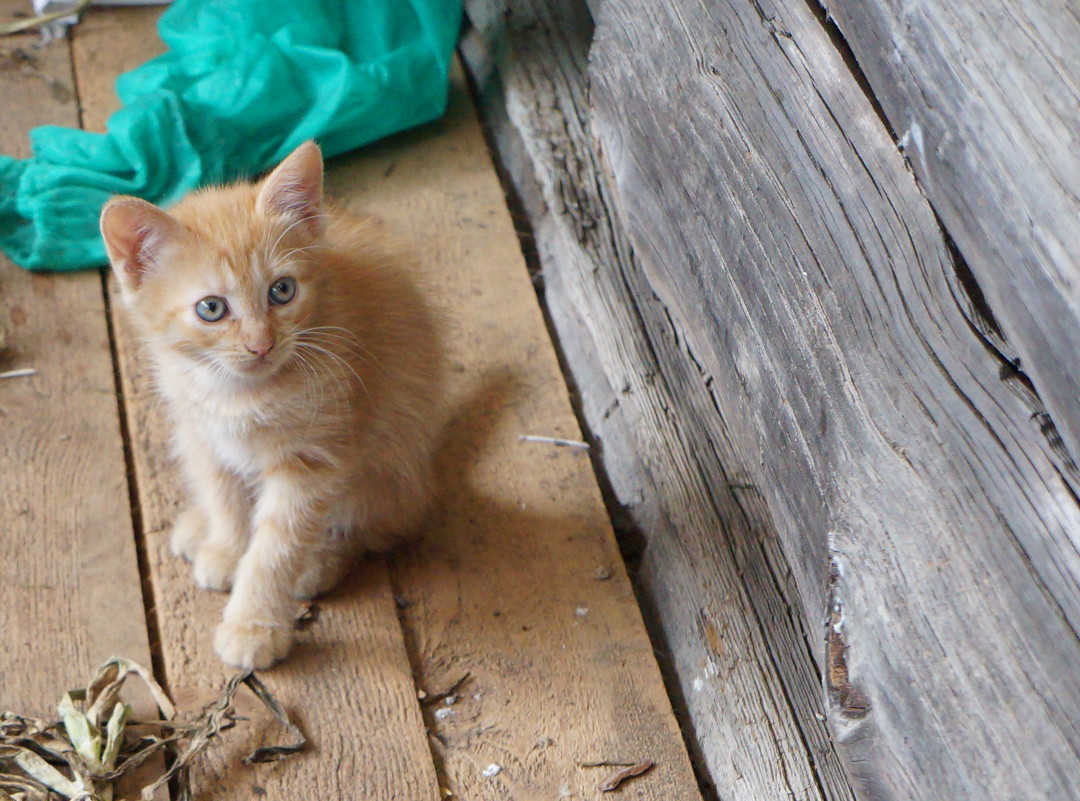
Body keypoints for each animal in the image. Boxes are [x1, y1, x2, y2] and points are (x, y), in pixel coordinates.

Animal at [98, 142, 442, 669]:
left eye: (282, 290)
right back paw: (200, 527)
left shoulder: (313, 459)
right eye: (211, 308)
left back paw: (320, 561)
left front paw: (252, 624)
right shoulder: (201, 431)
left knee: (375, 523)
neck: (237, 394)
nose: (262, 344)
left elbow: (276, 546)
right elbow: (223, 492)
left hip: (391, 462)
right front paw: (226, 546)